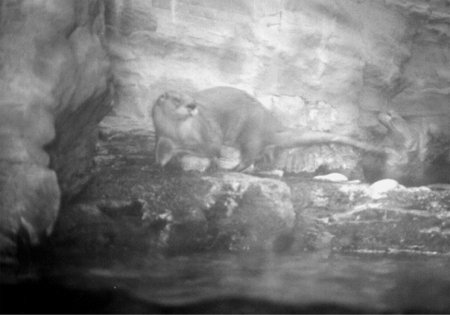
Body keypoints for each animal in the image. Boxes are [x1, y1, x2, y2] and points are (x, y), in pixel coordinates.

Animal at [150, 87, 384, 173]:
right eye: (176, 99)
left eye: (192, 97)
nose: (192, 105)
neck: (178, 132)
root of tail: (272, 123)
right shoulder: (161, 132)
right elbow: (161, 148)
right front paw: (160, 160)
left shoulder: (208, 134)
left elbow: (207, 150)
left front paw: (180, 153)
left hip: (250, 132)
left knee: (250, 154)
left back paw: (235, 168)